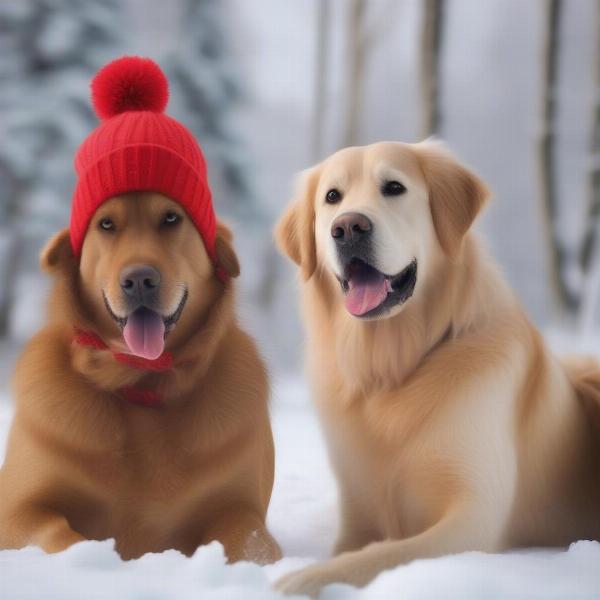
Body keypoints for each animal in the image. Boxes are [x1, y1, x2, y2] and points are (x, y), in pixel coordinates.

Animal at [0, 191, 282, 564]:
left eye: (171, 218)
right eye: (106, 224)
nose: (139, 280)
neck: (140, 382)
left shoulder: (241, 509)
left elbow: (249, 543)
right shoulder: (17, 509)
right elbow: (57, 532)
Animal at [274, 141, 596, 596]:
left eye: (394, 187)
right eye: (332, 197)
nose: (348, 227)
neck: (393, 369)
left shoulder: (473, 516)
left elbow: (388, 554)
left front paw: (305, 578)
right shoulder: (357, 508)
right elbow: (358, 546)